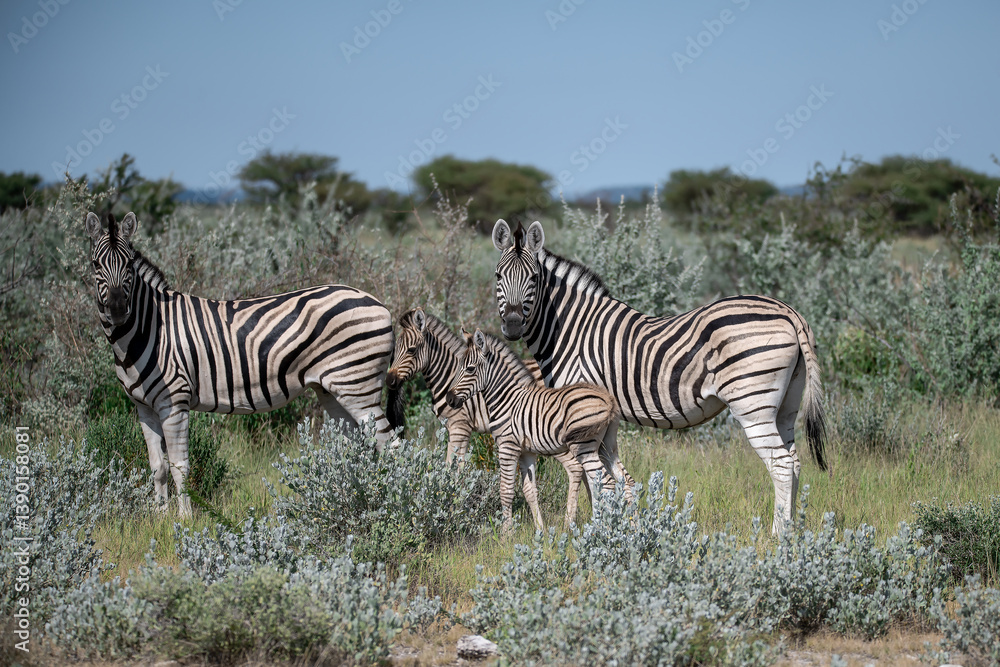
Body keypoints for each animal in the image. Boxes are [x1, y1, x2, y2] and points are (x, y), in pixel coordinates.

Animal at [86, 211, 402, 517]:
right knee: (354, 451)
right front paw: (160, 518)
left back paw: (393, 506)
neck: (149, 329)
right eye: (94, 264)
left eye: (128, 264)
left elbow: (179, 467)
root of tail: (381, 305)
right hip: (334, 391)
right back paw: (345, 502)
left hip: (358, 387)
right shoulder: (144, 407)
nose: (117, 310)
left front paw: (184, 521)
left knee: (391, 446)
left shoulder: (174, 402)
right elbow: (158, 467)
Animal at [385, 307, 599, 526]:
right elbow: (453, 468)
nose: (389, 381)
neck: (450, 375)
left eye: (411, 350)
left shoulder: (460, 426)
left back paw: (573, 521)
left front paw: (451, 508)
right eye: (395, 350)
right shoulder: (458, 429)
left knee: (576, 467)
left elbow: (453, 469)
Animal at [445, 327, 620, 533]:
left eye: (470, 369)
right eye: (458, 367)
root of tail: (608, 398)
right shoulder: (526, 451)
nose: (449, 399)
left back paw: (602, 529)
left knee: (606, 483)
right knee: (604, 481)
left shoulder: (507, 446)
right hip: (605, 444)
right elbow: (530, 490)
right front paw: (540, 531)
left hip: (583, 446)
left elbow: (505, 490)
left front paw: (506, 534)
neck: (507, 400)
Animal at [491, 219, 827, 534]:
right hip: (786, 404)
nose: (512, 325)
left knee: (780, 464)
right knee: (794, 462)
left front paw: (597, 531)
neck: (570, 330)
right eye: (497, 276)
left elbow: (593, 478)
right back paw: (793, 531)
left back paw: (776, 536)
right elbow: (605, 475)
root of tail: (789, 312)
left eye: (534, 278)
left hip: (752, 403)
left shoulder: (582, 410)